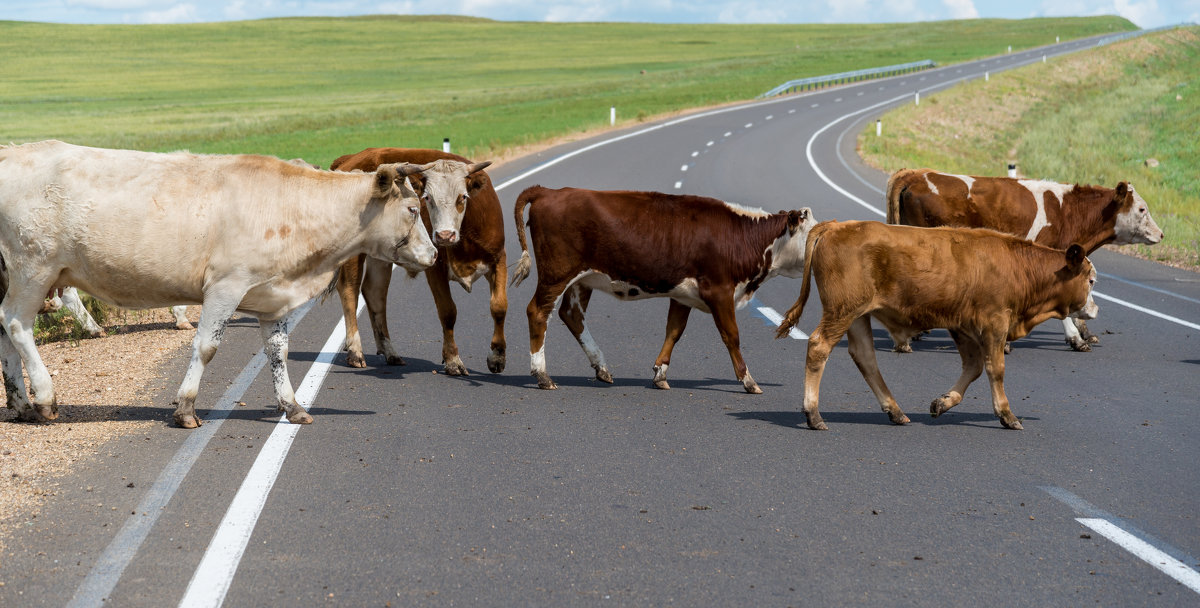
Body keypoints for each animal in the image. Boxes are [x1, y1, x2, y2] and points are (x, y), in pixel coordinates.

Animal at [0, 140, 441, 431]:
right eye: (412, 208)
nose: (435, 253)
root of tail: (13, 150)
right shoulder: (226, 287)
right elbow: (206, 347)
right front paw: (186, 408)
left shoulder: (273, 297)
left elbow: (278, 353)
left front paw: (292, 406)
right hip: (33, 269)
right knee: (17, 324)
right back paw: (45, 399)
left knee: (3, 330)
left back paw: (18, 403)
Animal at [326, 148, 499, 376]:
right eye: (427, 198)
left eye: (463, 197)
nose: (444, 236)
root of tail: (350, 158)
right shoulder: (436, 268)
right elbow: (448, 311)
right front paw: (453, 361)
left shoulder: (498, 259)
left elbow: (499, 306)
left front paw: (498, 356)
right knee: (349, 289)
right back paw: (355, 352)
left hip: (380, 255)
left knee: (374, 293)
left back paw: (390, 352)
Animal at [511, 185, 820, 393]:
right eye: (814, 234)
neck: (741, 237)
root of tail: (549, 191)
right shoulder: (719, 291)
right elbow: (731, 336)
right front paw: (748, 380)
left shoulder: (682, 295)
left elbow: (674, 331)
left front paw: (660, 373)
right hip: (557, 274)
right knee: (538, 312)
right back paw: (542, 375)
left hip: (581, 281)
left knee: (572, 315)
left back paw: (601, 368)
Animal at [777, 221, 1099, 431]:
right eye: (1092, 280)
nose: (1095, 309)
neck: (1017, 266)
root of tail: (835, 225)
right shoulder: (994, 323)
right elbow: (995, 369)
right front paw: (1007, 415)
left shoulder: (963, 325)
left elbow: (974, 368)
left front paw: (943, 403)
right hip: (841, 311)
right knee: (819, 347)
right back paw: (813, 414)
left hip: (857, 316)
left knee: (865, 358)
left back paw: (895, 411)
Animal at [888, 170, 1156, 352]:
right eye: (1142, 209)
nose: (1160, 233)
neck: (1068, 212)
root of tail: (915, 174)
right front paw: (1076, 338)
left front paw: (1084, 333)